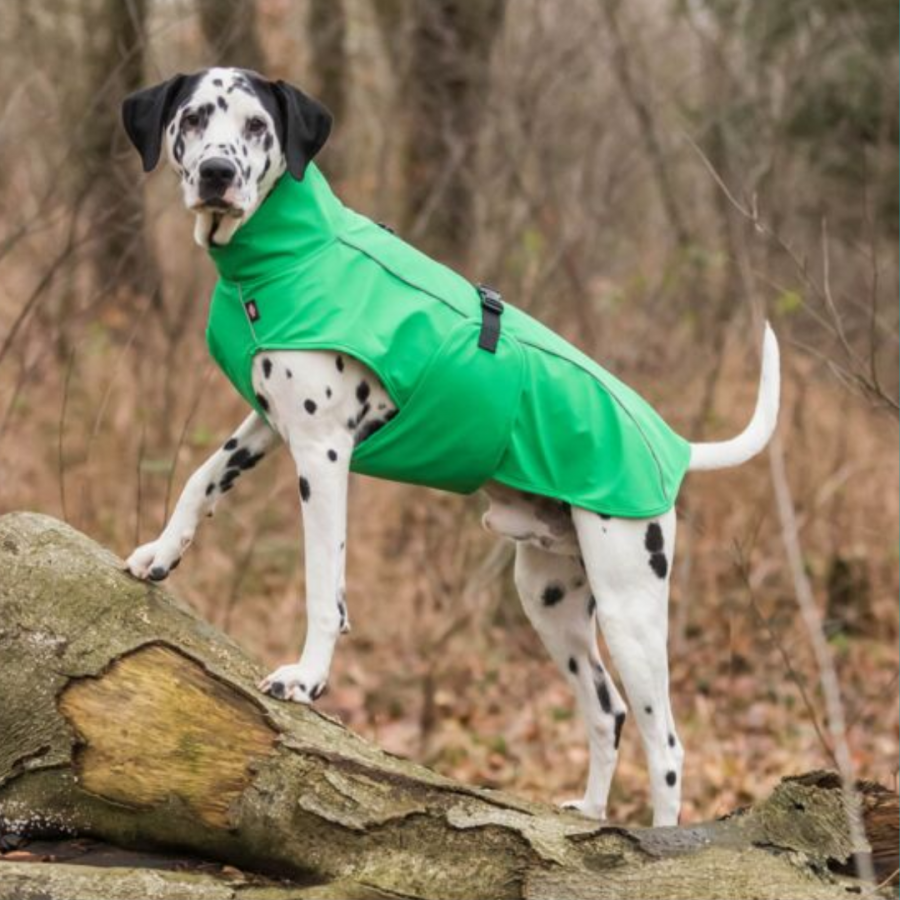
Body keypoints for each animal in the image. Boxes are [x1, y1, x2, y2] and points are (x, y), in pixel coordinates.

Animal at [123, 68, 776, 828]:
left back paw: (662, 840)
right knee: (605, 712)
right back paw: (586, 812)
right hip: (550, 602)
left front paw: (307, 678)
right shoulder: (268, 423)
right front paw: (160, 553)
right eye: (195, 117)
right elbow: (202, 478)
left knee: (665, 742)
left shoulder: (321, 453)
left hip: (630, 608)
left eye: (257, 126)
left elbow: (320, 584)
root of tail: (670, 445)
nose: (217, 173)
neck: (293, 250)